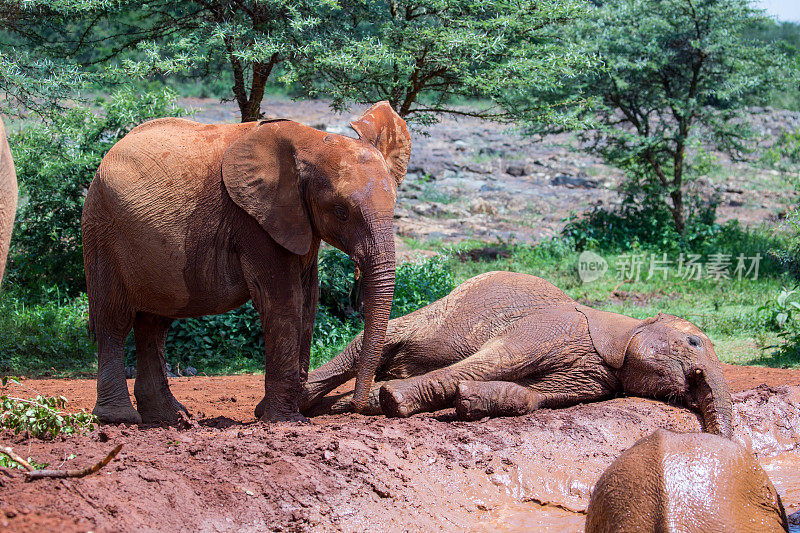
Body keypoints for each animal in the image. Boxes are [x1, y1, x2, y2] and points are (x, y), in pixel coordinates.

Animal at [83, 102, 410, 422]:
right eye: (341, 212)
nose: (359, 405)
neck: (311, 142)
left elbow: (308, 304)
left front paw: (275, 412)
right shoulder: (255, 220)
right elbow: (284, 303)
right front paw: (286, 420)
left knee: (153, 324)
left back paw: (170, 419)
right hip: (102, 230)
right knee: (114, 320)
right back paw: (120, 419)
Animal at [304, 268, 736, 438]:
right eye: (694, 343)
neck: (628, 324)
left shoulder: (595, 375)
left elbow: (533, 396)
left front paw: (469, 402)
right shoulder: (550, 328)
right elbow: (494, 361)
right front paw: (394, 401)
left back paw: (349, 405)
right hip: (438, 311)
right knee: (377, 340)